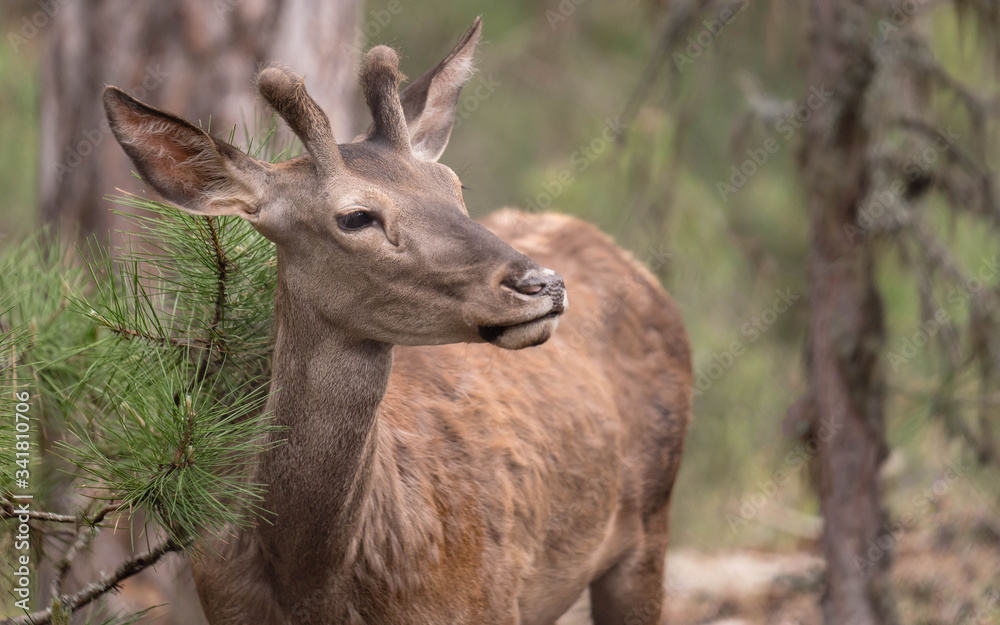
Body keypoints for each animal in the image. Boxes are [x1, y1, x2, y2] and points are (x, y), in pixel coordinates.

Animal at [103, 15, 696, 624]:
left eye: (455, 185)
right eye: (355, 216)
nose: (543, 284)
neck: (311, 583)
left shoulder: (490, 602)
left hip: (651, 524)